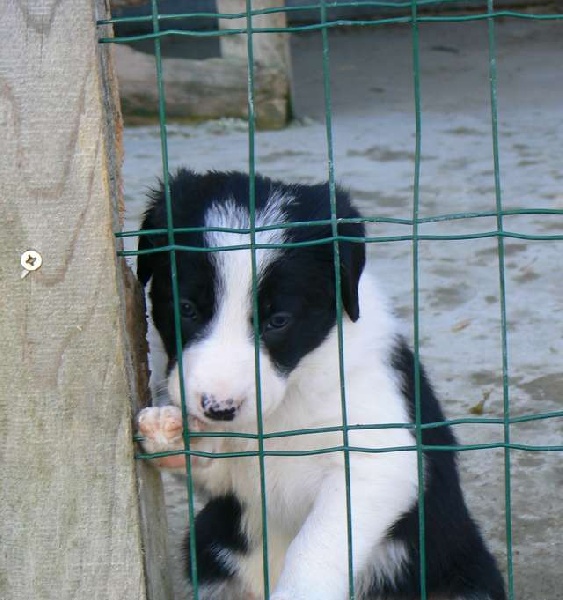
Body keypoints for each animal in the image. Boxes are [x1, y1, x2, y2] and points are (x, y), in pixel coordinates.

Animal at [135, 169, 506, 600]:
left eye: (278, 320)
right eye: (187, 309)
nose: (217, 408)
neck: (290, 395)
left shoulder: (375, 457)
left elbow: (318, 543)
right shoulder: (237, 475)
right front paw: (169, 433)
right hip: (211, 545)